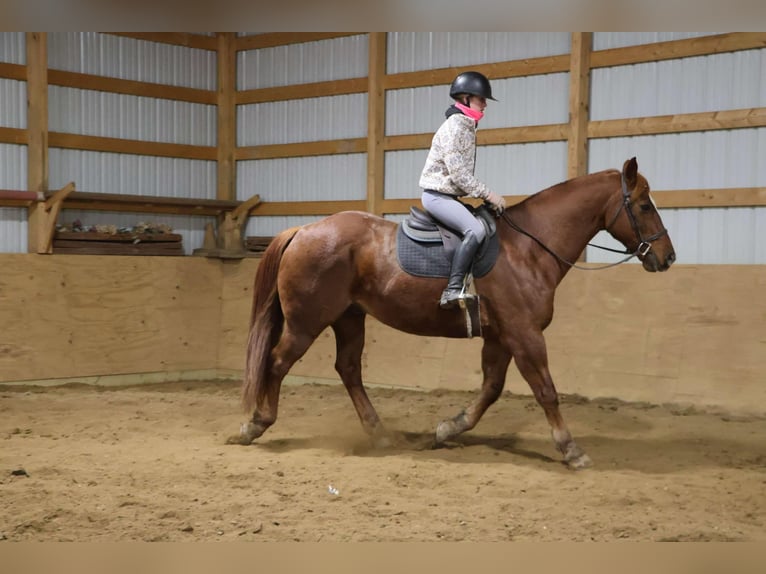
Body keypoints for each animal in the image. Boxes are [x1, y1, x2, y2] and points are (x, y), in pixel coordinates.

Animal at [226, 157, 676, 469]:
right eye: (643, 205)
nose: (668, 257)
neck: (527, 249)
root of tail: (302, 230)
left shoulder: (501, 337)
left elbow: (491, 389)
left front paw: (448, 428)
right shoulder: (525, 334)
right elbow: (546, 390)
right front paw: (571, 449)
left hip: (349, 318)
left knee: (348, 369)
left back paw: (379, 433)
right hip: (307, 322)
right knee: (277, 362)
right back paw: (255, 424)